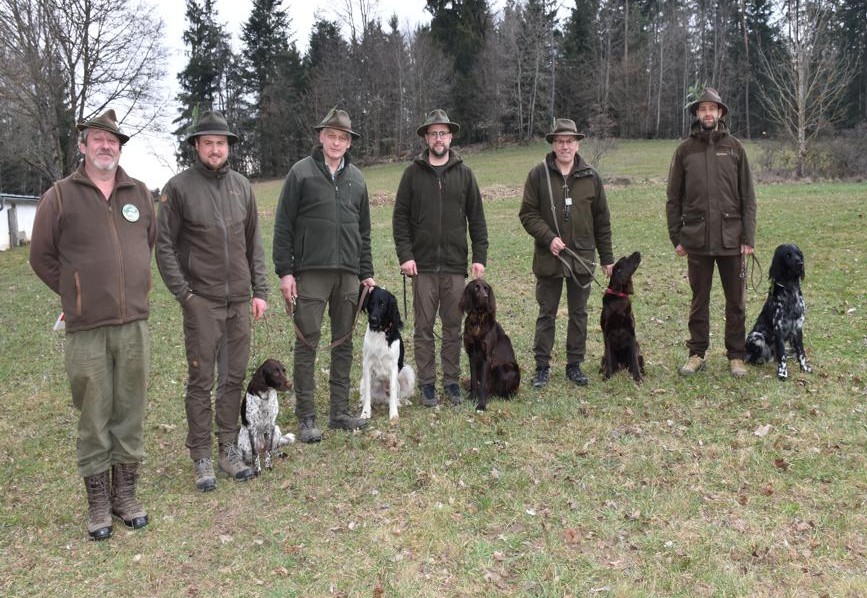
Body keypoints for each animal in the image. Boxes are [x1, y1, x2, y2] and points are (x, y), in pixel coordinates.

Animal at [359, 285, 415, 420]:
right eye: (371, 303)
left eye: (382, 304)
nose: (372, 319)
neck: (380, 332)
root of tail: (382, 398)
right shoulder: (367, 364)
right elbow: (367, 394)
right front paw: (366, 412)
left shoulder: (394, 367)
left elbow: (394, 391)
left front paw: (393, 414)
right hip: (362, 381)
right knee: (366, 394)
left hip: (408, 371)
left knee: (398, 396)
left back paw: (402, 402)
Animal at [460, 279, 521, 411]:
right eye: (476, 288)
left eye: (486, 288)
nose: (485, 297)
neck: (477, 321)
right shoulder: (472, 355)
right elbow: (473, 381)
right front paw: (472, 398)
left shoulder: (487, 357)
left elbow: (483, 384)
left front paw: (481, 404)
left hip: (505, 367)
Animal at [600, 251, 645, 382]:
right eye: (626, 259)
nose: (637, 251)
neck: (619, 297)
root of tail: (621, 366)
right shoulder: (607, 333)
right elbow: (609, 358)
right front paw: (607, 375)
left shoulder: (631, 333)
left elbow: (634, 359)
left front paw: (637, 377)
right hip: (603, 357)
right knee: (606, 361)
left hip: (638, 350)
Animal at [746, 243, 812, 380]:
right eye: (788, 255)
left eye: (799, 254)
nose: (800, 263)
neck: (791, 291)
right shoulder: (779, 328)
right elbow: (781, 355)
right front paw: (782, 372)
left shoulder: (798, 327)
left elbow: (801, 352)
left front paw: (804, 368)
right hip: (756, 335)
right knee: (754, 358)